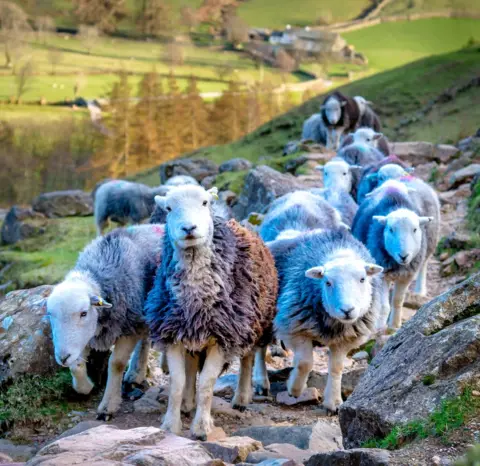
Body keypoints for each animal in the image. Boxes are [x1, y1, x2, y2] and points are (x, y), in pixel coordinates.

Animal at [45, 224, 165, 420]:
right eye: (49, 315)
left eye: (84, 313)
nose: (62, 357)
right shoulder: (88, 335)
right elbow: (76, 365)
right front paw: (85, 387)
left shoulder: (129, 326)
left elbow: (116, 364)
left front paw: (108, 406)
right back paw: (136, 373)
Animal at [145, 184, 278, 438]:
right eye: (168, 208)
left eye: (205, 202)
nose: (188, 228)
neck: (195, 300)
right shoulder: (173, 333)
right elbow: (177, 382)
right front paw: (170, 424)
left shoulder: (223, 336)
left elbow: (206, 383)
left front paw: (201, 428)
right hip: (195, 333)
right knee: (191, 365)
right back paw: (188, 401)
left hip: (252, 322)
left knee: (247, 359)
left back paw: (241, 397)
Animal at [274, 228, 382, 412]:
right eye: (328, 282)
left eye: (362, 279)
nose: (347, 310)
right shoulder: (294, 328)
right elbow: (305, 363)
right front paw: (294, 389)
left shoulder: (345, 339)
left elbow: (337, 368)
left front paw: (334, 402)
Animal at [352, 177, 438, 330]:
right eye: (391, 229)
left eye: (415, 229)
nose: (403, 256)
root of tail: (392, 184)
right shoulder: (381, 274)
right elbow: (384, 305)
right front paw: (380, 327)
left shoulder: (407, 275)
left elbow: (397, 301)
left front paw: (395, 326)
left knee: (424, 266)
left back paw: (420, 291)